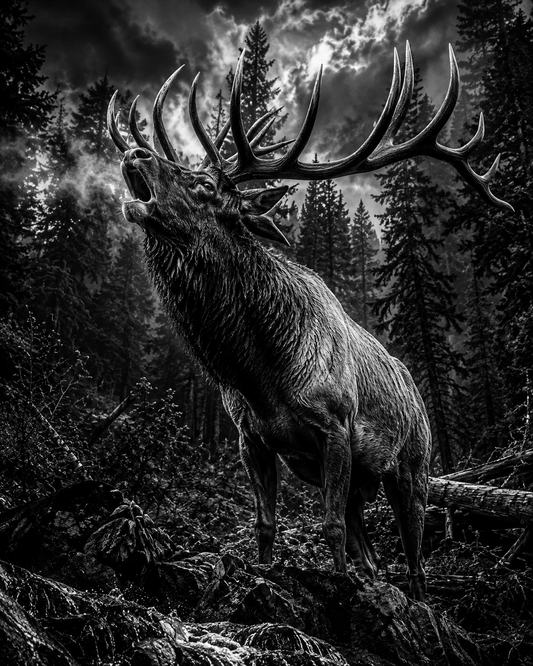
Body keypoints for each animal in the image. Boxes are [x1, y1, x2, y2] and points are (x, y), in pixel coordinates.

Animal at [107, 43, 512, 601]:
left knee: (414, 559)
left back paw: (417, 600)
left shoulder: (336, 426)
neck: (259, 372)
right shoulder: (251, 438)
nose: (136, 153)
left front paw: (338, 587)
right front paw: (262, 575)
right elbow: (266, 523)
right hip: (361, 481)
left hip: (415, 467)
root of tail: (414, 387)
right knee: (373, 554)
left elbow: (330, 528)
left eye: (205, 184)